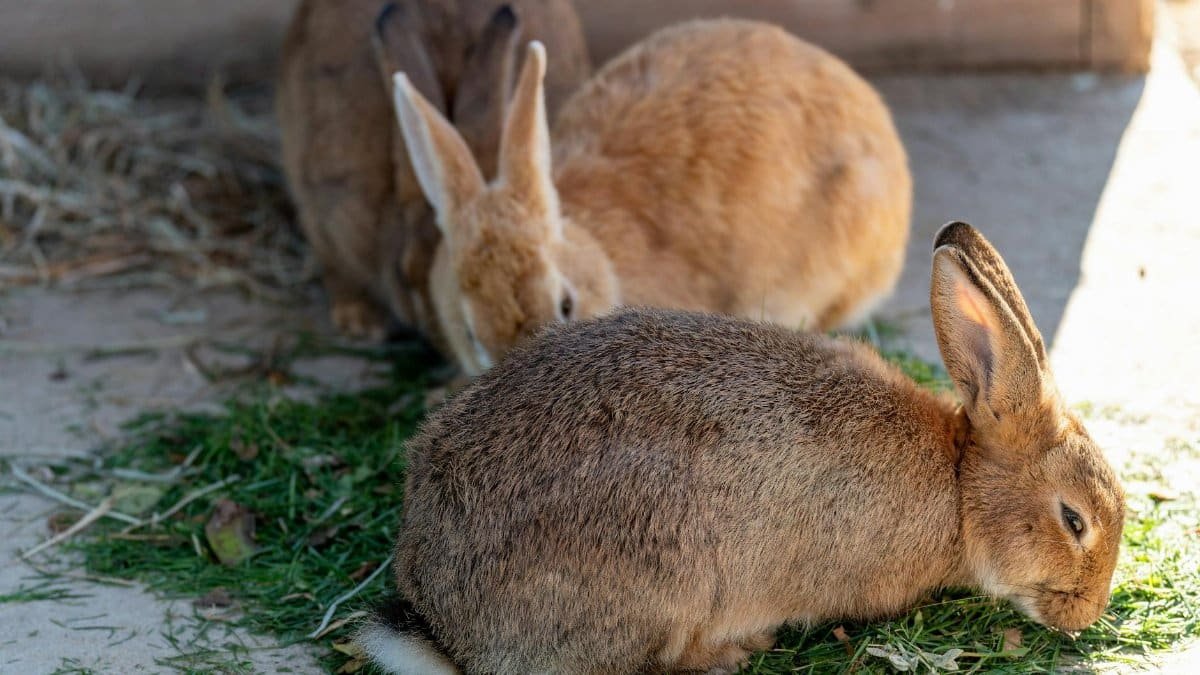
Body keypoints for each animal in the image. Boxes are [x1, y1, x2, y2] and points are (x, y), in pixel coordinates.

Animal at [356, 222, 1125, 674]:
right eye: (1074, 520)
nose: (1086, 615)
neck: (960, 486)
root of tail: (447, 625)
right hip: (665, 579)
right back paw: (735, 649)